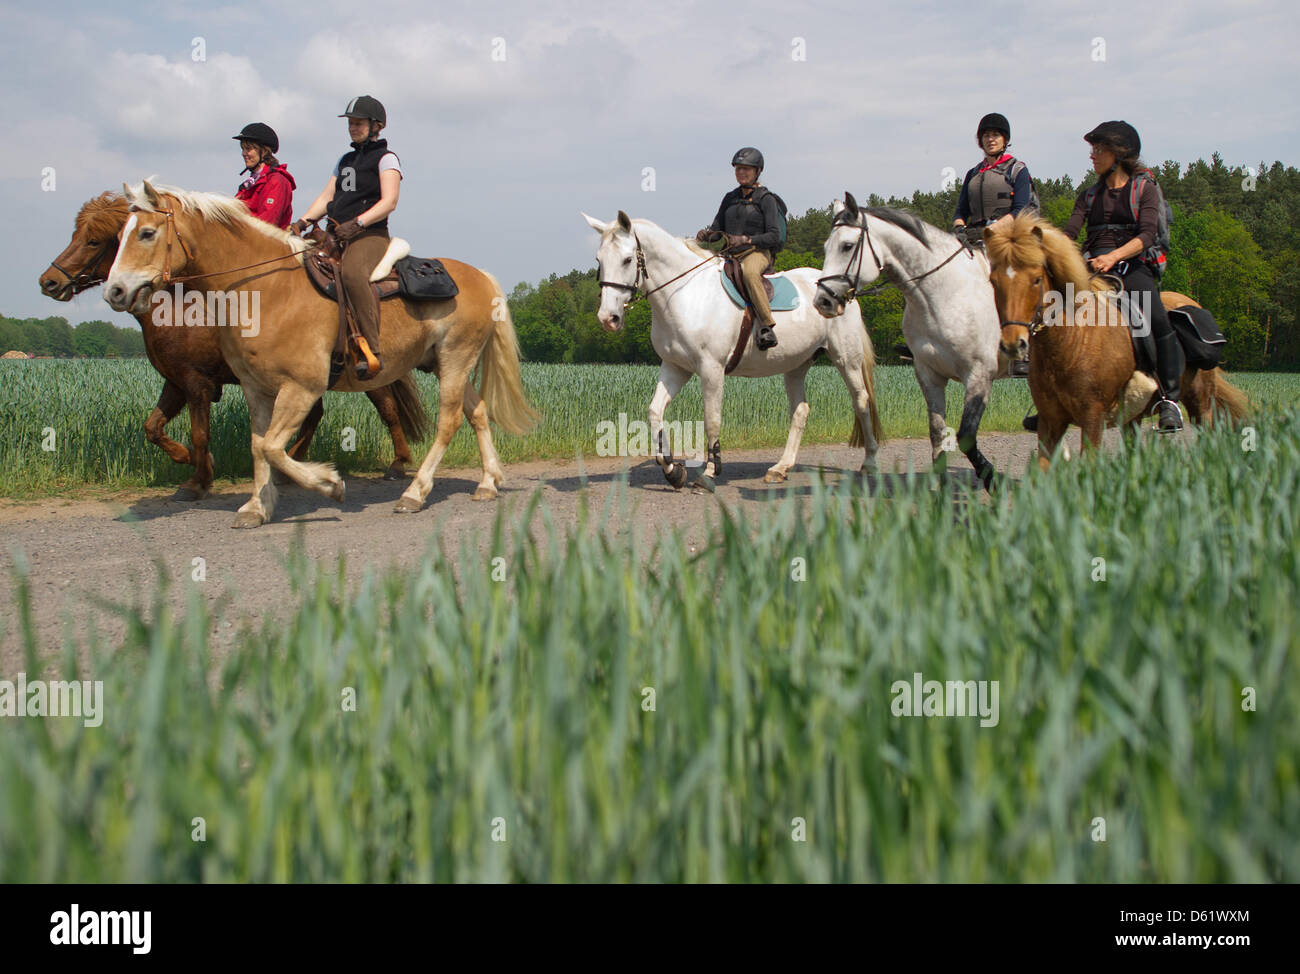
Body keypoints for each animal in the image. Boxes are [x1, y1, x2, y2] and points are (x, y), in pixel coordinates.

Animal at [38, 189, 426, 496]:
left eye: (93, 240)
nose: (49, 282)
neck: (179, 305)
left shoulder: (196, 383)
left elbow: (198, 433)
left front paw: (198, 477)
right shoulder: (175, 381)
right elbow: (152, 427)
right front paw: (189, 461)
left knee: (387, 408)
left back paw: (396, 463)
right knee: (316, 415)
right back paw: (296, 463)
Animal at [102, 182, 543, 533]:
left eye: (146, 233)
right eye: (119, 236)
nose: (115, 291)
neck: (269, 291)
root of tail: (481, 277)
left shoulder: (301, 387)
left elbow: (273, 448)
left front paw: (329, 484)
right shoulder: (256, 389)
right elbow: (259, 446)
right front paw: (257, 506)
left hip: (454, 360)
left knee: (449, 422)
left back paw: (415, 493)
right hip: (445, 364)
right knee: (478, 412)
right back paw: (487, 483)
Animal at [582, 209, 878, 488]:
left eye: (627, 260)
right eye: (598, 260)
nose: (608, 318)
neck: (686, 294)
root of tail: (843, 289)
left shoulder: (711, 369)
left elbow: (712, 420)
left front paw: (709, 474)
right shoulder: (675, 367)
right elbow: (655, 412)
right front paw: (673, 471)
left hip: (846, 358)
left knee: (861, 400)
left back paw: (869, 463)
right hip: (796, 365)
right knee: (800, 411)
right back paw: (780, 468)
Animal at [811, 192, 1003, 488]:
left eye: (847, 246)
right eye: (825, 247)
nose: (823, 301)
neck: (945, 293)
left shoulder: (979, 374)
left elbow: (966, 436)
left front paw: (991, 478)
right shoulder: (928, 373)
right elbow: (937, 432)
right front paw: (939, 486)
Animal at [982, 213, 1248, 470]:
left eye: (1036, 279)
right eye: (993, 281)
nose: (1013, 344)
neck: (1072, 341)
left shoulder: (1092, 417)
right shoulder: (1050, 420)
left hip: (1200, 404)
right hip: (1133, 416)